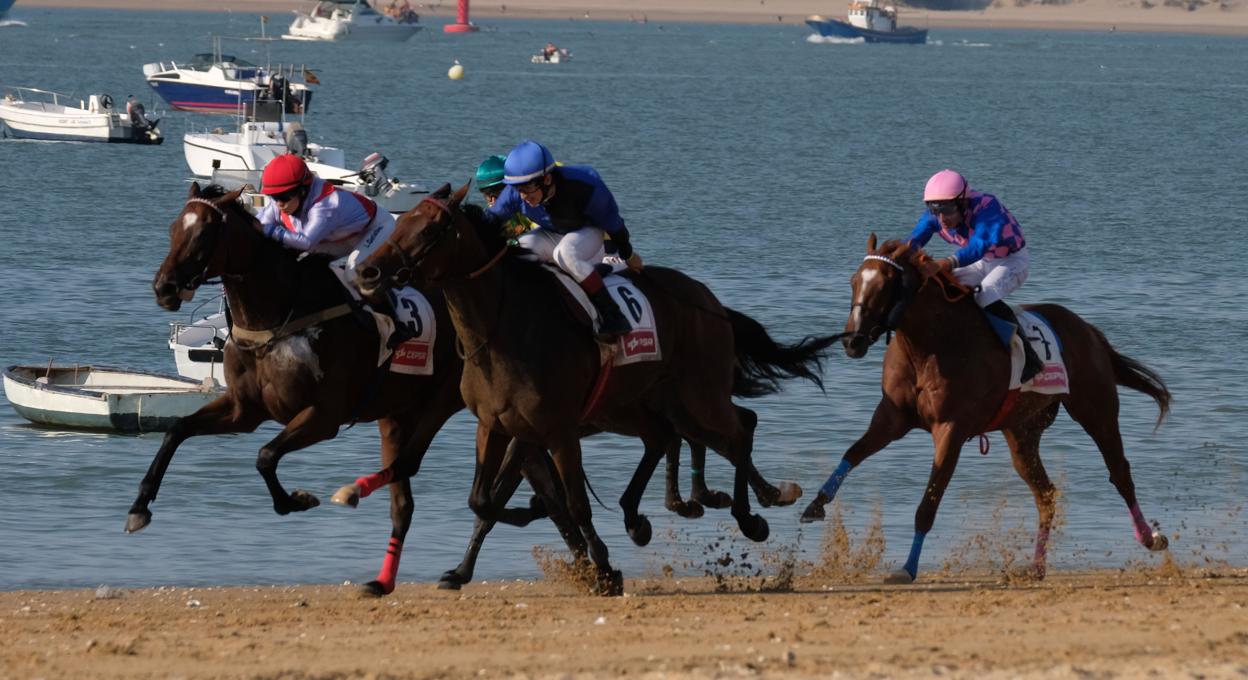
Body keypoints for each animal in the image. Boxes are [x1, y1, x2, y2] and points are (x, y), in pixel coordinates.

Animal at [355, 183, 837, 594]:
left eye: (430, 229)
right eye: (400, 221)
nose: (367, 270)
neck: (503, 327)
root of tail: (709, 300)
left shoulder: (557, 430)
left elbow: (571, 504)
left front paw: (603, 569)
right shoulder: (497, 426)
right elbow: (483, 502)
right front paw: (464, 567)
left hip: (698, 392)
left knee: (737, 430)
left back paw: (751, 512)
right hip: (647, 402)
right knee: (674, 436)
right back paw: (659, 513)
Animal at [799, 235, 1171, 583]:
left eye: (887, 283)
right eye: (854, 280)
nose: (852, 341)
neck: (931, 345)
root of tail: (1089, 330)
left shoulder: (950, 428)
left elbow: (928, 503)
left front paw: (907, 567)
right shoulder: (892, 418)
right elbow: (853, 452)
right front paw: (815, 503)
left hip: (1096, 409)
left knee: (1119, 473)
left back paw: (1150, 537)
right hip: (1021, 433)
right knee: (1046, 494)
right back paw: (1036, 566)